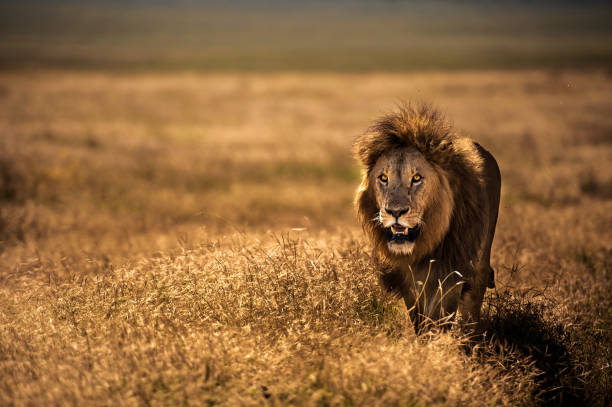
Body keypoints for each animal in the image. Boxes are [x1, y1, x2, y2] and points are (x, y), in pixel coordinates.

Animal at [354, 103, 502, 334]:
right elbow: (419, 319)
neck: (421, 248)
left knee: (472, 307)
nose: (395, 212)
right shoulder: (406, 282)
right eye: (383, 178)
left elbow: (438, 321)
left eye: (416, 178)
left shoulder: (449, 275)